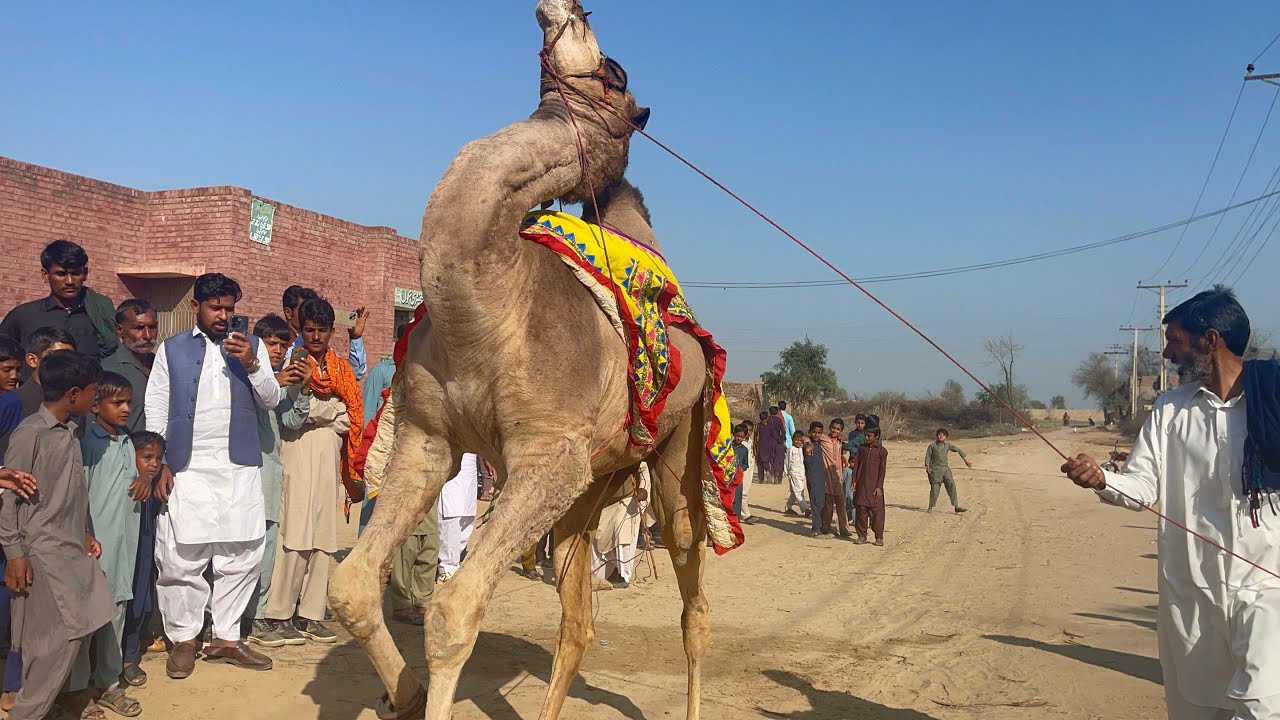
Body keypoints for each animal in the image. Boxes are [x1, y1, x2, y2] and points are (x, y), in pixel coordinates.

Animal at [329, 2, 722, 718]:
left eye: (616, 74)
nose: (565, 9)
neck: (489, 306)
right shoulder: (428, 438)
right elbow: (350, 586)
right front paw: (406, 693)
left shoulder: (547, 453)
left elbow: (452, 611)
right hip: (592, 481)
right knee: (578, 618)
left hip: (676, 449)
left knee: (691, 587)